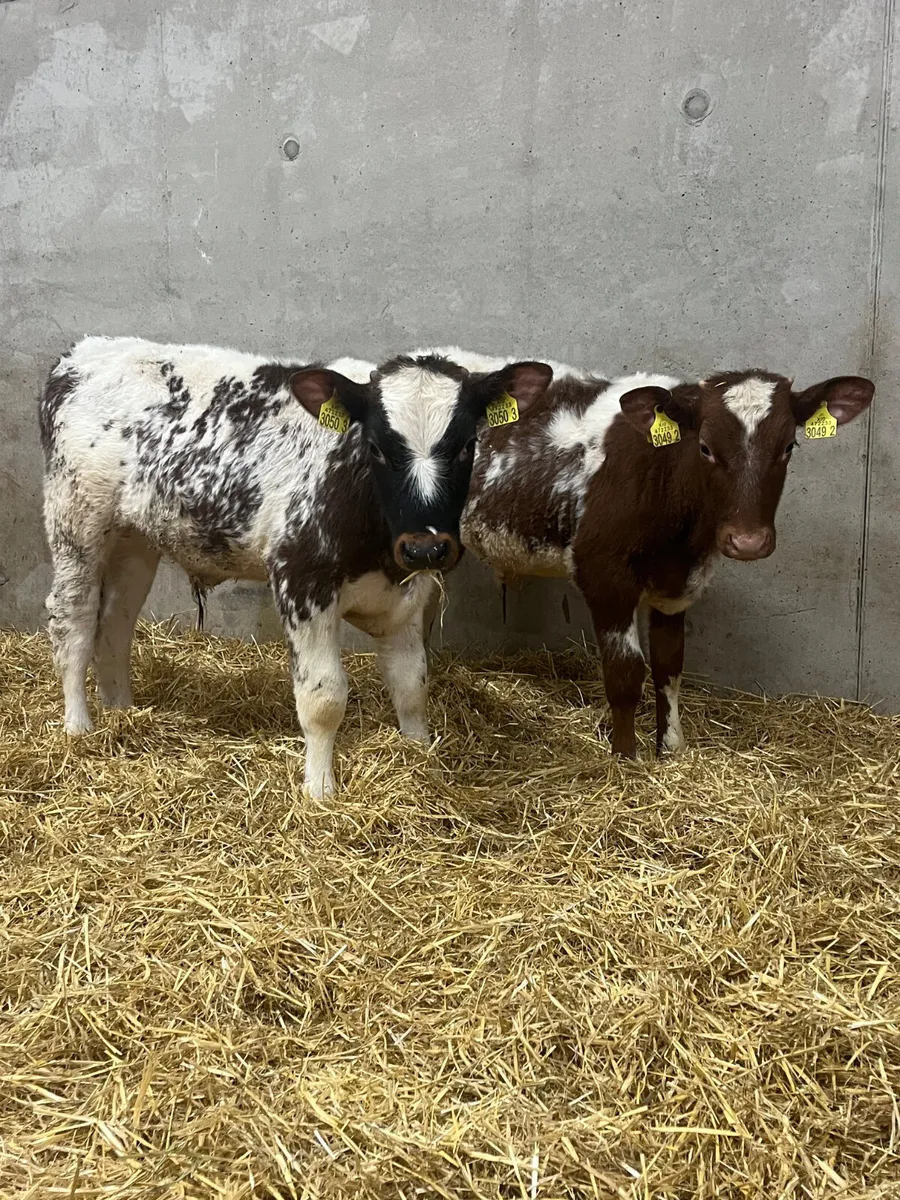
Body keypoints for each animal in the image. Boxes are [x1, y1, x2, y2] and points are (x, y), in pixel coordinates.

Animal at [38, 337, 553, 797]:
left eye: (467, 445)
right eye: (377, 447)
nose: (426, 549)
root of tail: (82, 353)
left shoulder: (407, 594)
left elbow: (411, 684)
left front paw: (419, 754)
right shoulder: (301, 579)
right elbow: (323, 698)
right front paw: (320, 790)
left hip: (135, 539)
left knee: (115, 623)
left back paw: (122, 712)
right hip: (76, 524)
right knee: (72, 624)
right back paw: (80, 726)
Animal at [413, 347, 874, 759]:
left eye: (788, 447)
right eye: (705, 447)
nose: (748, 542)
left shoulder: (676, 586)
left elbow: (669, 666)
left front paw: (670, 748)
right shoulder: (604, 575)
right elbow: (625, 673)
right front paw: (626, 757)